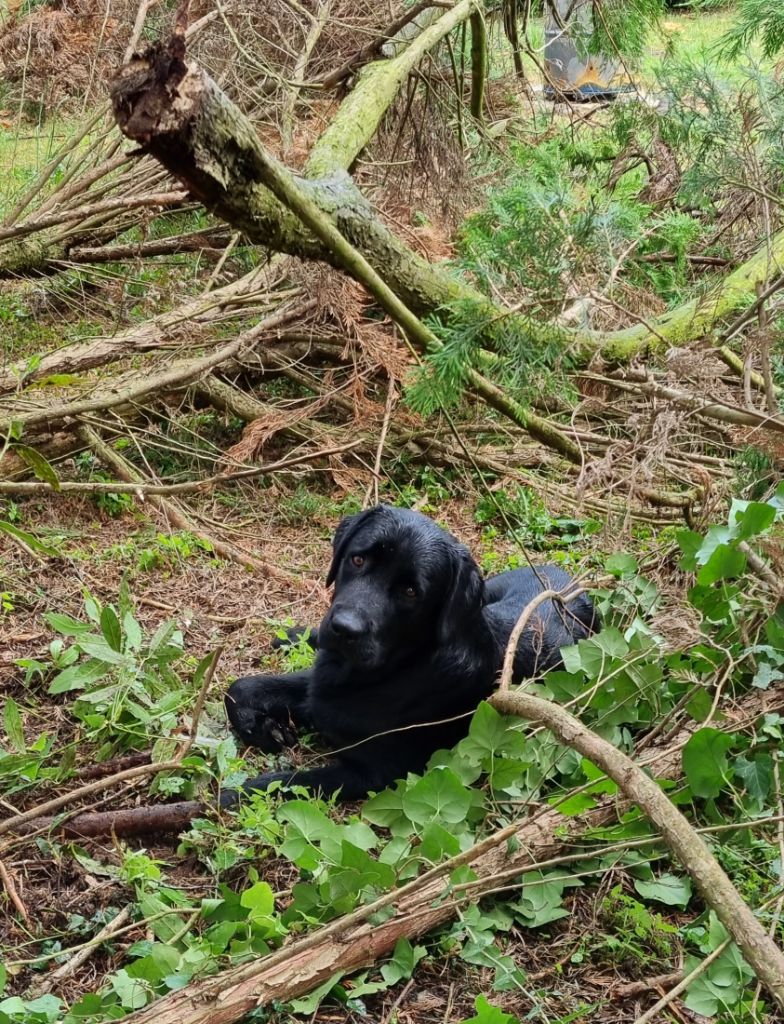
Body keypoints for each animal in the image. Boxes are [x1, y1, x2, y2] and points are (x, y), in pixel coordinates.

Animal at [224, 507, 597, 802]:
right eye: (357, 559)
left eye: (410, 591)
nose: (344, 629)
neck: (398, 668)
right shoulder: (317, 689)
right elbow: (240, 687)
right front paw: (263, 727)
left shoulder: (374, 773)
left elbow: (283, 783)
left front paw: (228, 795)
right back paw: (294, 636)